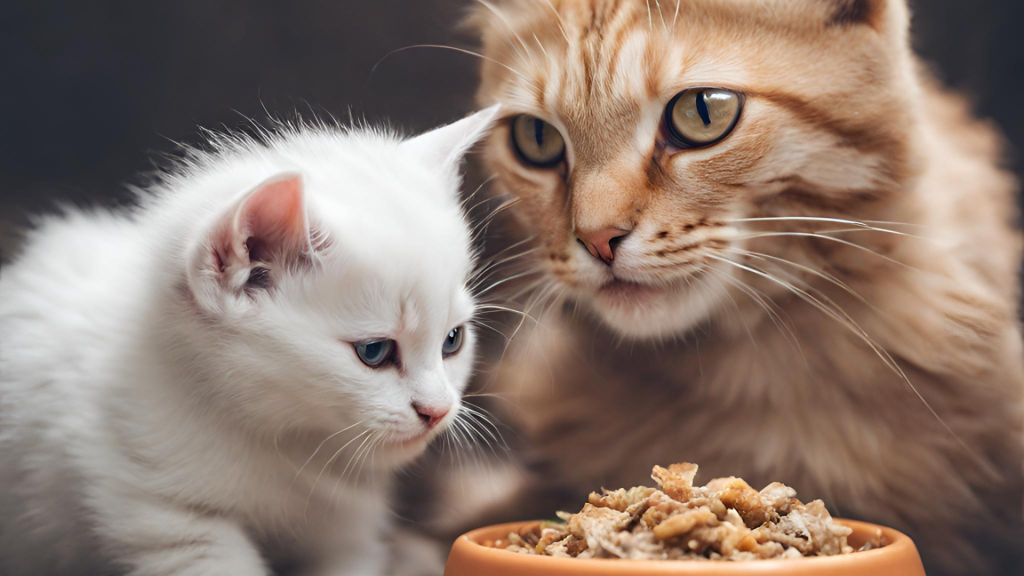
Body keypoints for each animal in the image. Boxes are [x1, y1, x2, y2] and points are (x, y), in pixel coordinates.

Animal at [0, 105, 499, 569]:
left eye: (452, 341)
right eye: (373, 352)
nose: (438, 410)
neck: (283, 446)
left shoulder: (347, 532)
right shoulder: (163, 512)